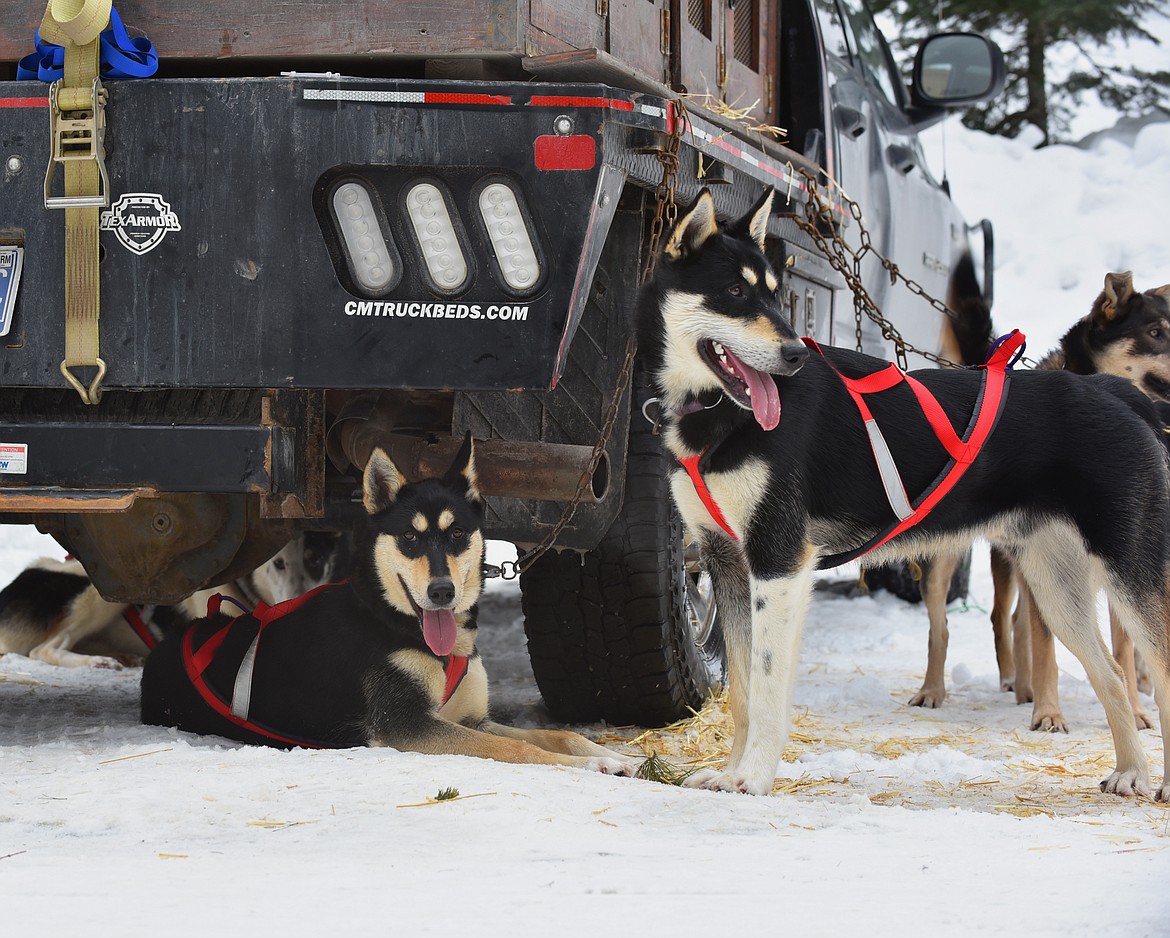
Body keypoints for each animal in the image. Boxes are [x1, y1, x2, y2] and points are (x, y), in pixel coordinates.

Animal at [142, 439, 645, 776]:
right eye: (409, 537)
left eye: (457, 533)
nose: (442, 592)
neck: (394, 623)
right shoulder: (410, 726)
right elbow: (522, 750)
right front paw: (585, 767)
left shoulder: (471, 718)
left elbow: (560, 732)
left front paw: (613, 754)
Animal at [636, 188, 1170, 795]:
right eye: (734, 292)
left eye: (774, 294)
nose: (796, 354)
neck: (723, 417)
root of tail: (1119, 393)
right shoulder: (728, 562)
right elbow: (745, 694)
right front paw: (730, 773)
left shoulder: (779, 561)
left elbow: (768, 691)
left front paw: (753, 778)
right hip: (1057, 590)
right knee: (1113, 676)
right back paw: (1130, 772)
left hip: (1127, 573)